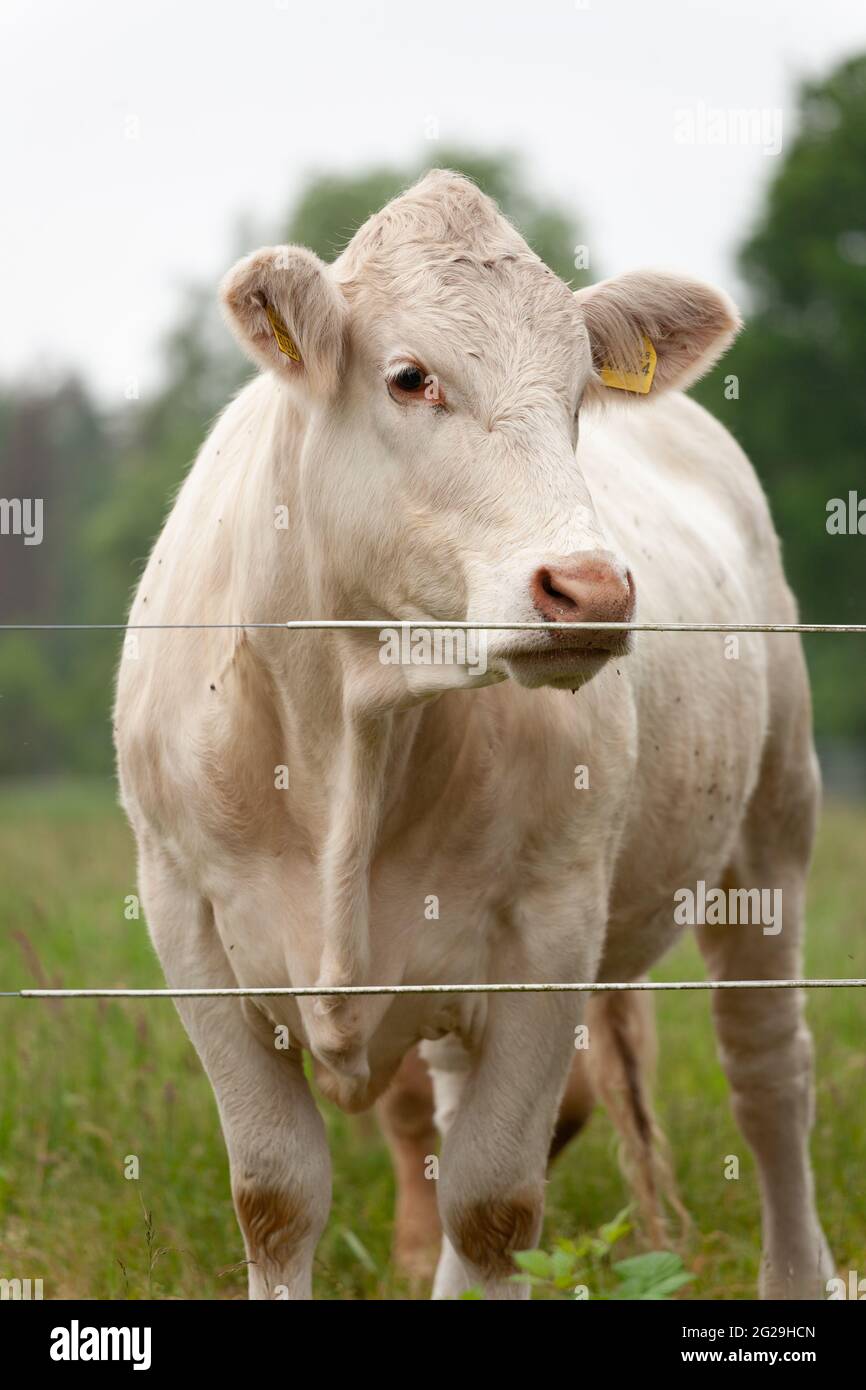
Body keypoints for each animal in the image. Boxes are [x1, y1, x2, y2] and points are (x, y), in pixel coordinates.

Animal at [114, 169, 832, 1300]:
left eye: (579, 395)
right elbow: (275, 1196)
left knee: (767, 1074)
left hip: (773, 826)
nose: (591, 590)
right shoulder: (188, 922)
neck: (353, 732)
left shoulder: (551, 933)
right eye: (411, 378)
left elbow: (494, 1205)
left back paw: (797, 1268)